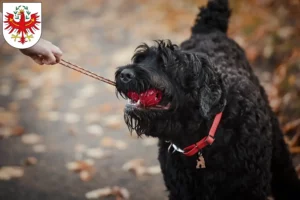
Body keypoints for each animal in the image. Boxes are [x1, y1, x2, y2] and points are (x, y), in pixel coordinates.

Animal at [114, 0, 298, 199]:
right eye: (140, 59)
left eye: (165, 64)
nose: (124, 74)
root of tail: (209, 29)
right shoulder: (181, 191)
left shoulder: (250, 188)